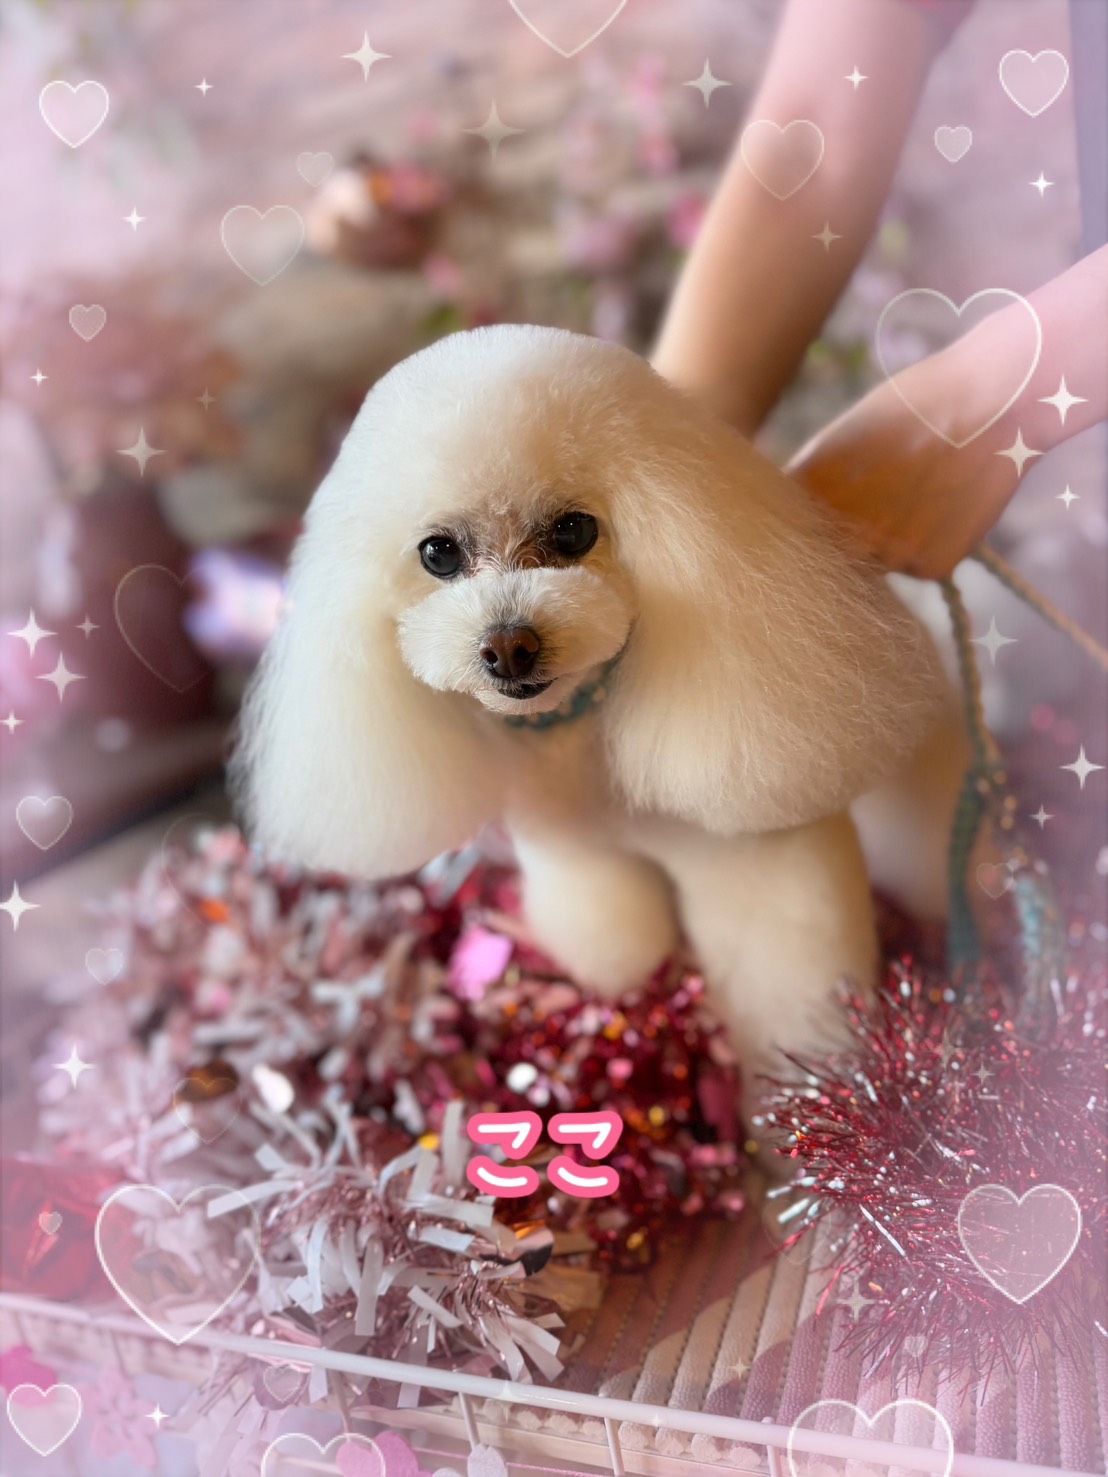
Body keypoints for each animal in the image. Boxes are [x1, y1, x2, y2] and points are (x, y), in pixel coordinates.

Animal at [230, 324, 952, 1110]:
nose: (508, 647)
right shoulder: (577, 859)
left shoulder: (769, 870)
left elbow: (790, 996)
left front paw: (800, 1114)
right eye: (438, 553)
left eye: (575, 532)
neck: (577, 734)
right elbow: (615, 938)